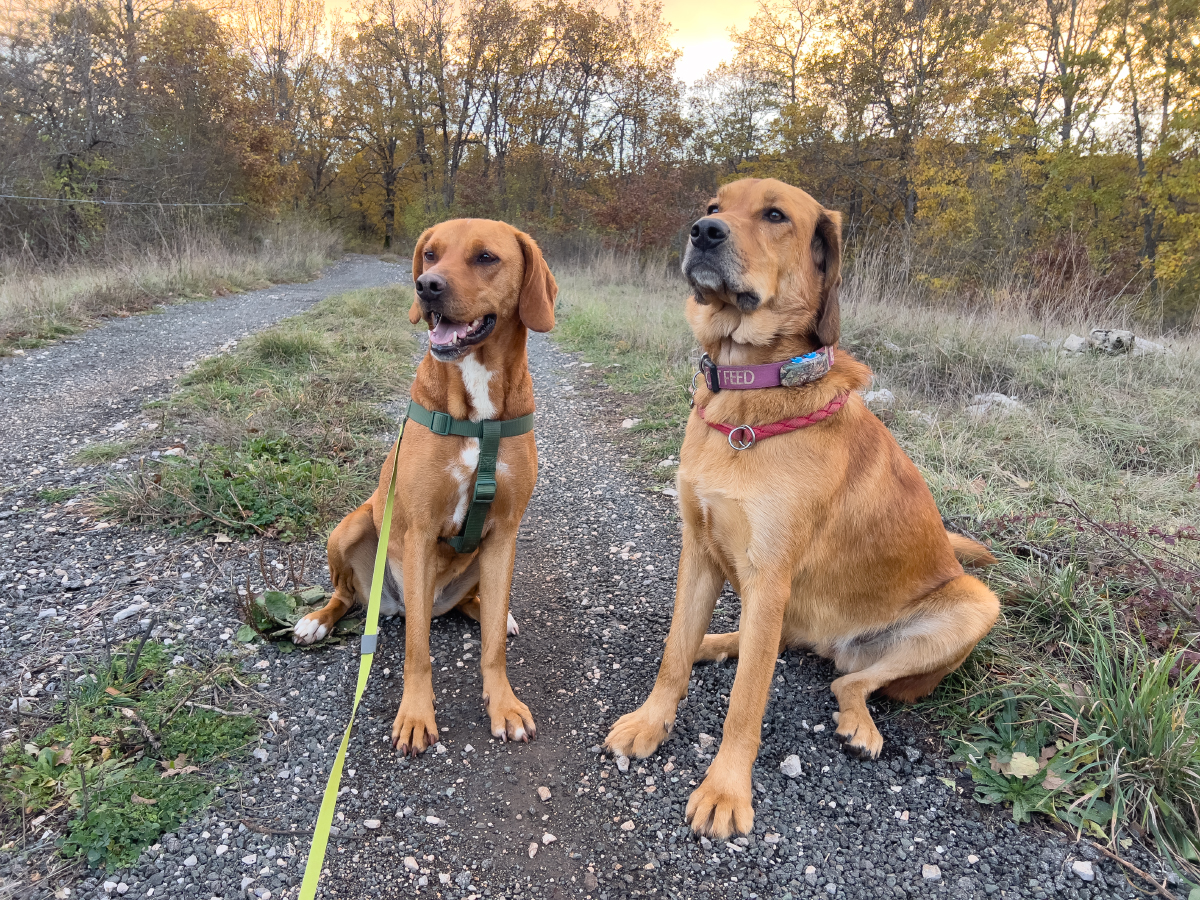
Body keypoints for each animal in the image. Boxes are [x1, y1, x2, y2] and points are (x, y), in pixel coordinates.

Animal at [290, 218, 556, 753]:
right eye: (430, 254)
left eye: (486, 257)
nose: (426, 286)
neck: (477, 414)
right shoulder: (418, 531)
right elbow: (417, 650)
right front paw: (414, 716)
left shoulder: (504, 534)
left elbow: (492, 646)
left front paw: (503, 704)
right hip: (350, 529)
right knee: (347, 595)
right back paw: (316, 620)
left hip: (483, 561)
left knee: (480, 609)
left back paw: (490, 612)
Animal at [604, 180, 998, 844]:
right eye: (714, 208)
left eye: (775, 215)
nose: (703, 233)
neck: (751, 389)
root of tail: (836, 644)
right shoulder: (699, 551)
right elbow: (673, 656)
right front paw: (651, 721)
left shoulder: (768, 574)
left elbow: (746, 703)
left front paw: (725, 791)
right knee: (774, 647)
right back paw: (719, 642)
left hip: (973, 604)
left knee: (846, 681)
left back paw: (858, 722)